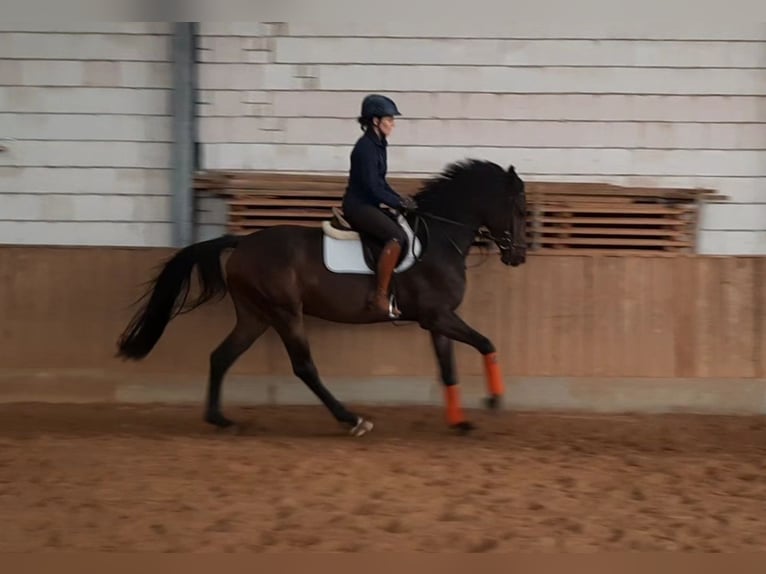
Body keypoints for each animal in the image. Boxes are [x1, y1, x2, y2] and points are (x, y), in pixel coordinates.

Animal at [115, 158, 528, 436]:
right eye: (520, 210)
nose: (519, 257)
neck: (439, 238)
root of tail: (241, 243)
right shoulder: (438, 316)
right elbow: (486, 343)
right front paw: (494, 401)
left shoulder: (436, 320)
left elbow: (449, 369)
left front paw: (460, 421)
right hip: (285, 312)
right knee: (304, 367)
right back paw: (352, 419)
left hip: (255, 315)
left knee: (221, 357)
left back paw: (220, 419)